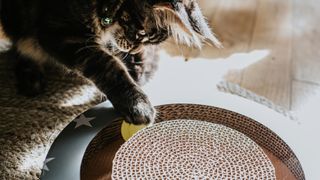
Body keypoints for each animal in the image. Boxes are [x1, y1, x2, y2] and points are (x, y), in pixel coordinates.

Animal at [0, 0, 220, 124]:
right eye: (142, 34)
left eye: (147, 37)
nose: (134, 49)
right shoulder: (61, 34)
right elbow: (108, 65)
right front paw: (137, 104)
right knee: (21, 46)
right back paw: (30, 76)